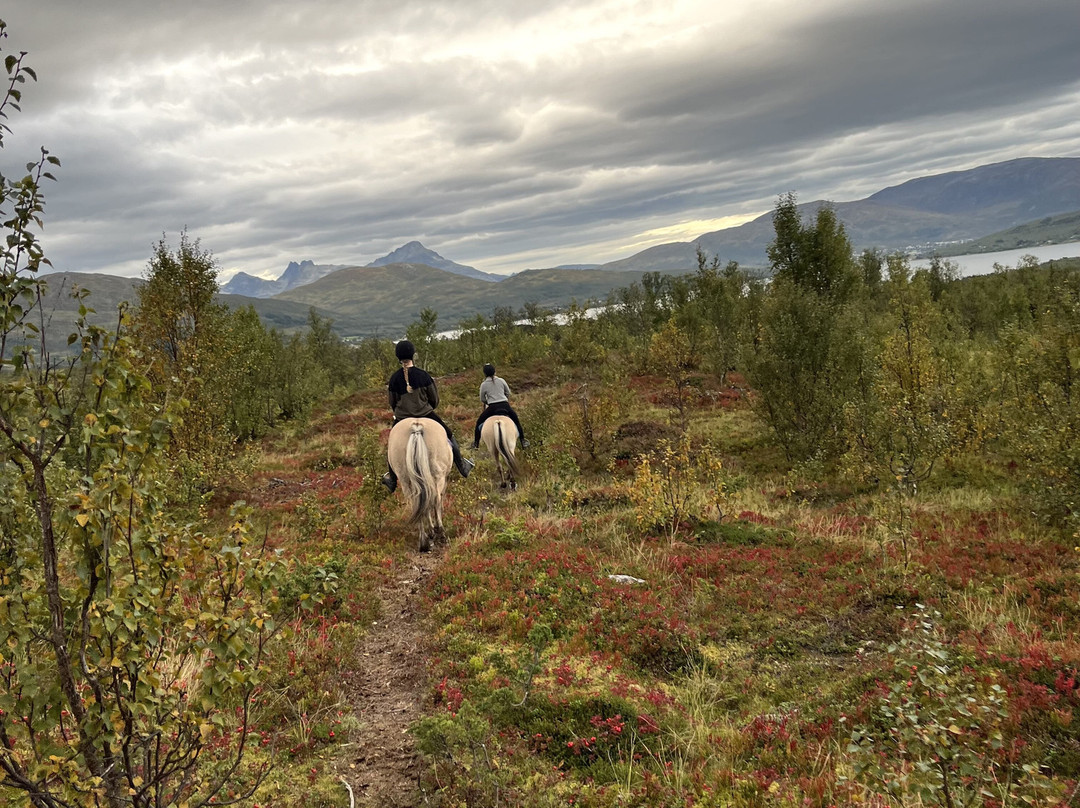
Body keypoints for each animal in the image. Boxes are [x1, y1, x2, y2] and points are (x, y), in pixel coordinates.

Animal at [384, 419, 451, 553]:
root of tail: (416, 427)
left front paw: (431, 530)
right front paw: (434, 529)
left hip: (405, 479)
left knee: (417, 502)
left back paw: (423, 542)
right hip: (438, 475)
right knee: (435, 500)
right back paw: (440, 534)